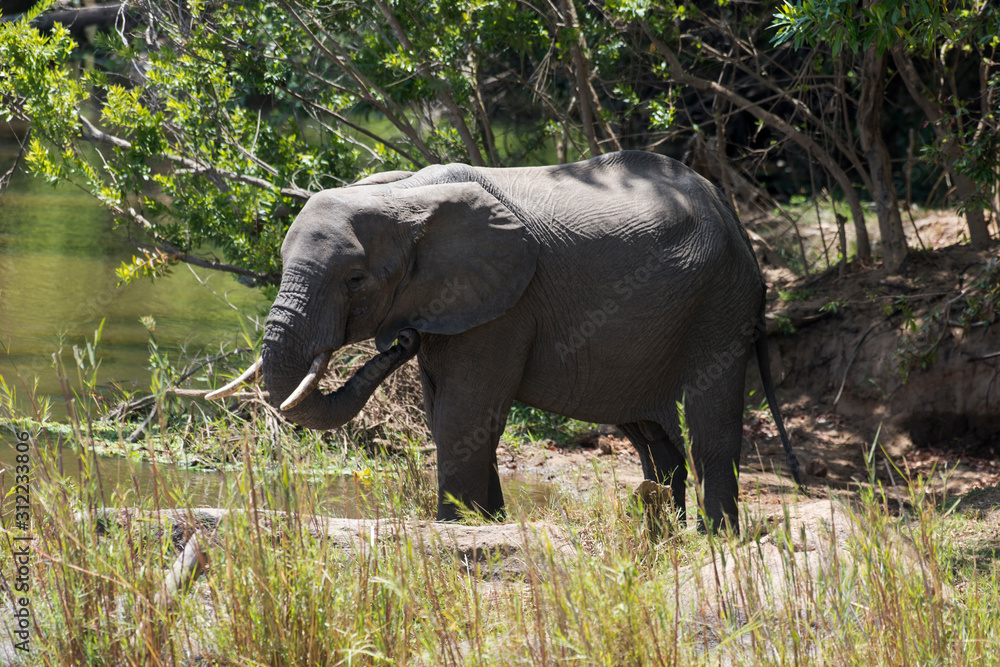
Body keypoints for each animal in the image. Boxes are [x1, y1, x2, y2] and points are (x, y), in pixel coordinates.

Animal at [208, 150, 802, 532]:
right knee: (653, 438)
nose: (399, 339)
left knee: (708, 428)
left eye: (355, 279)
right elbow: (446, 413)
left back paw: (714, 538)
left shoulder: (504, 305)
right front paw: (487, 523)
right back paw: (667, 527)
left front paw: (455, 527)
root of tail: (732, 214)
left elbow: (464, 413)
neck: (405, 195)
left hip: (718, 305)